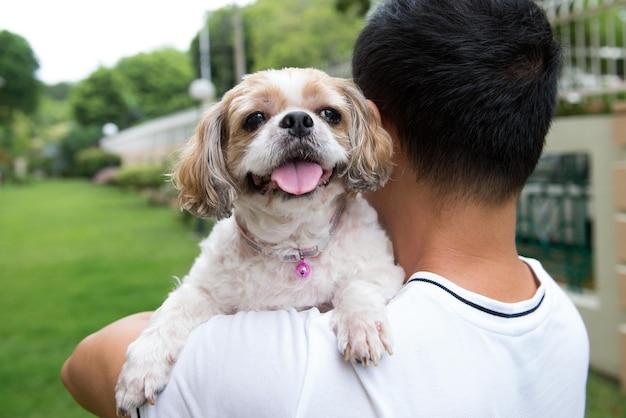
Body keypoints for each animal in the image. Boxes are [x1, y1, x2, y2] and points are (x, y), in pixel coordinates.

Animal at [114, 68, 402, 414]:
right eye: (254, 119)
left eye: (330, 114)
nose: (298, 120)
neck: (293, 244)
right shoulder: (204, 289)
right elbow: (171, 312)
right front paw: (142, 366)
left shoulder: (384, 270)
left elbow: (358, 285)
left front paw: (362, 326)